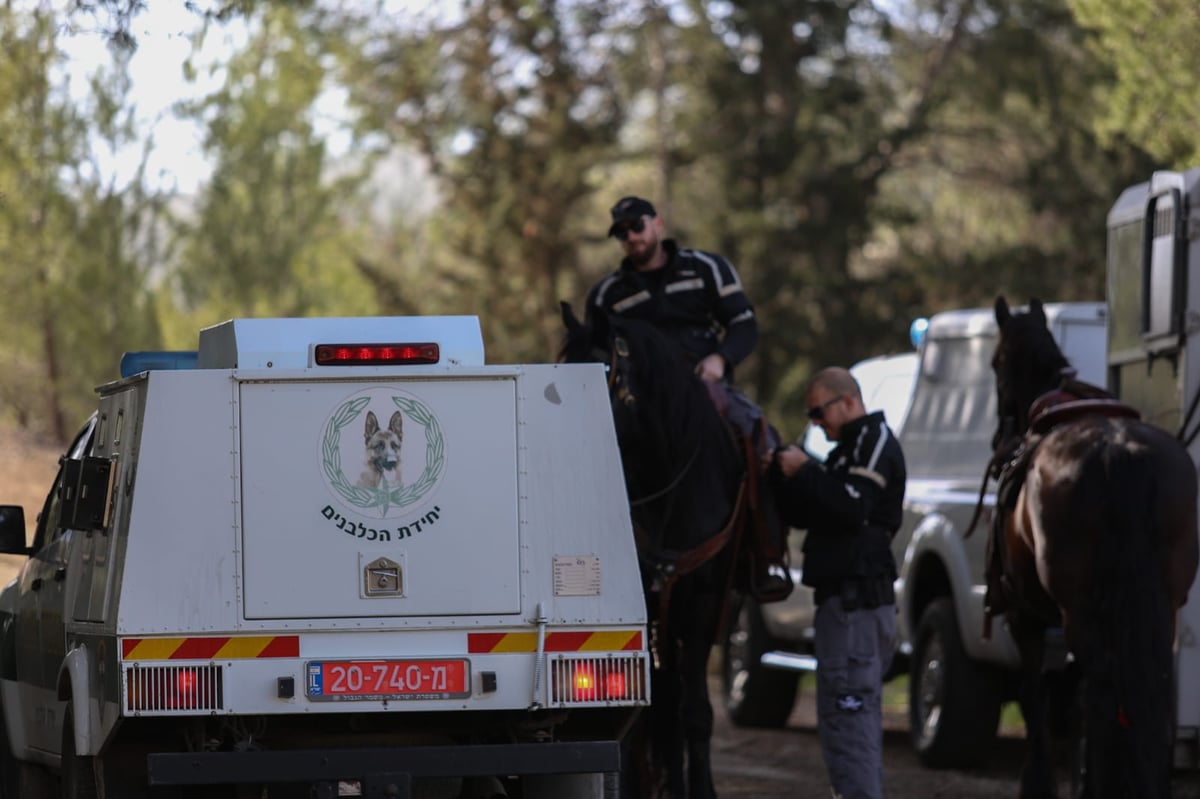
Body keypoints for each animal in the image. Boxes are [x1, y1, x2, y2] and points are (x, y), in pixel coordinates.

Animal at [988, 295, 1195, 791]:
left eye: (994, 362)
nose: (1001, 437)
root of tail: (1120, 451)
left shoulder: (1026, 617)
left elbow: (1035, 696)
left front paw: (1038, 781)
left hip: (1080, 610)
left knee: (1099, 691)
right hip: (1161, 605)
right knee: (1145, 688)